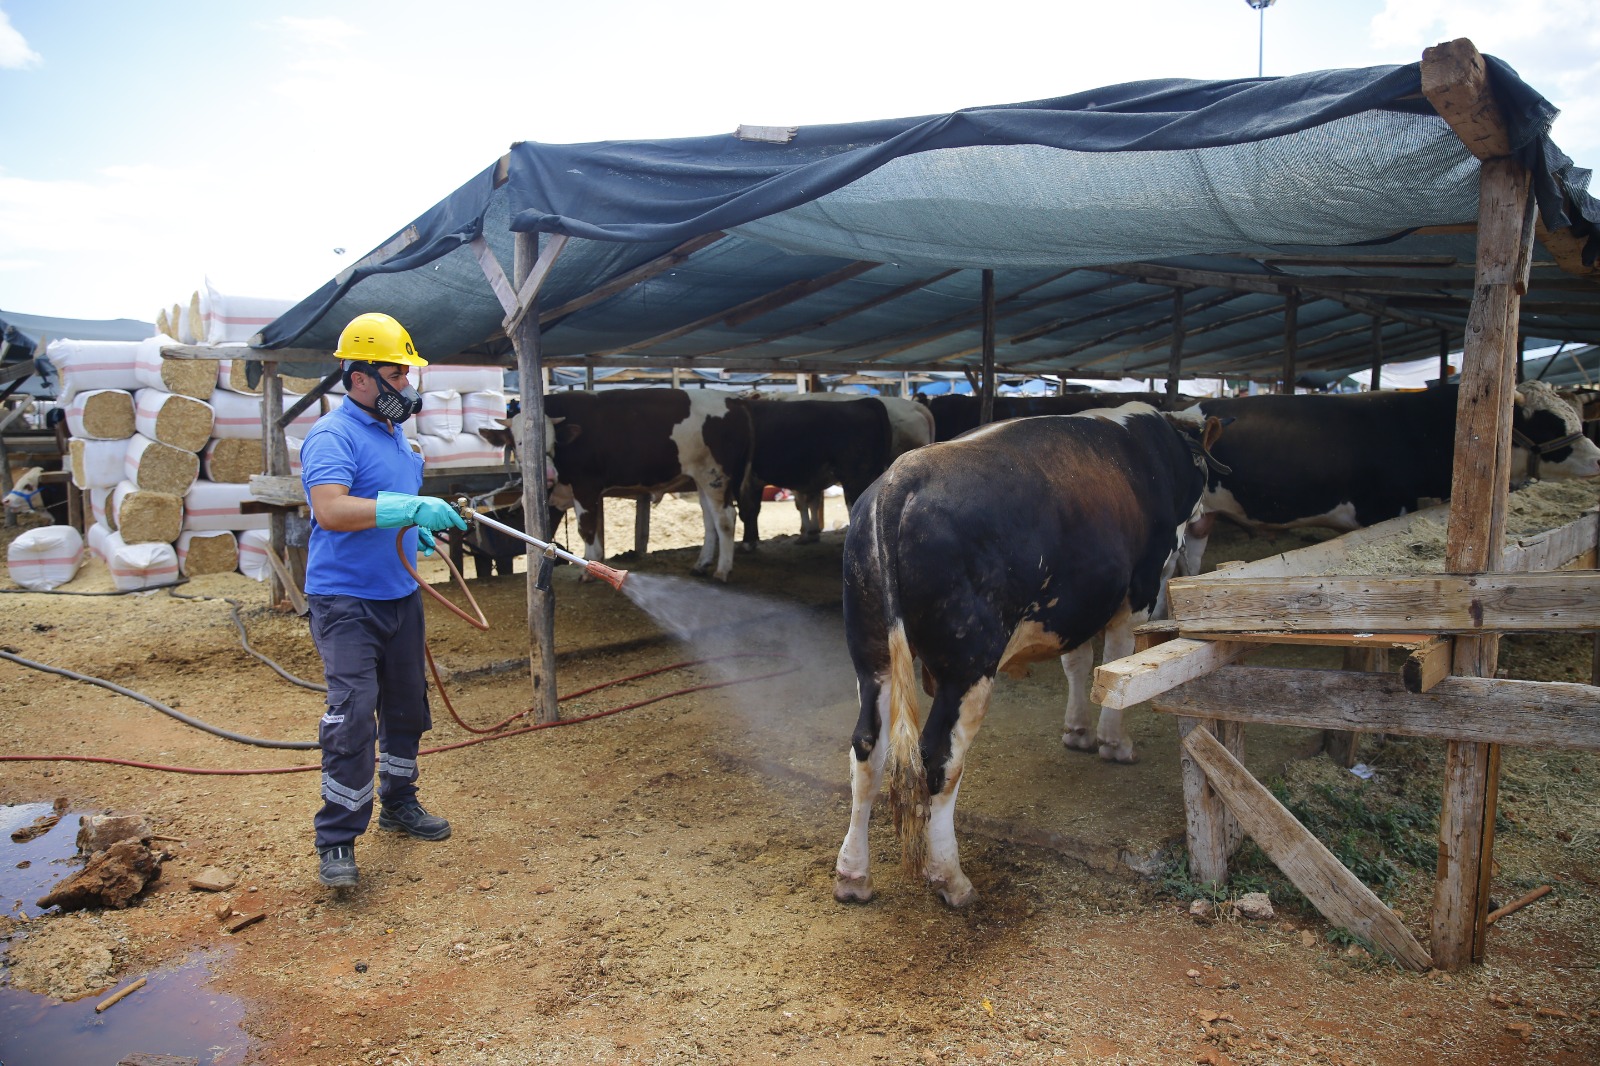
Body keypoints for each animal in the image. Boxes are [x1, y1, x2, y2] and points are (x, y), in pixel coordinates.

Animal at [832, 403, 1216, 902]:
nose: (1206, 518)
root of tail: (899, 480)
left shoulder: (1072, 606)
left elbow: (1077, 662)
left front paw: (1078, 731)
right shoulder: (1138, 590)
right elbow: (1117, 660)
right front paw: (1114, 742)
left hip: (872, 654)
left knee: (867, 749)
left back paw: (853, 875)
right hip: (967, 667)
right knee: (938, 758)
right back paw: (950, 877)